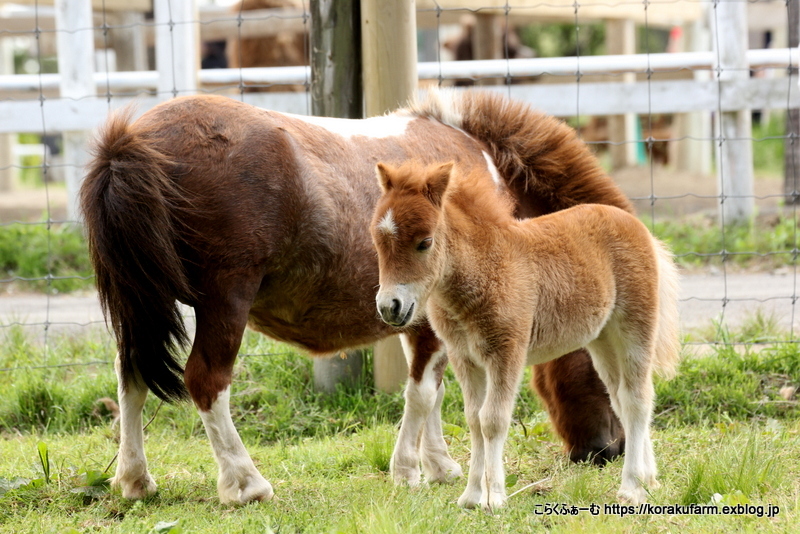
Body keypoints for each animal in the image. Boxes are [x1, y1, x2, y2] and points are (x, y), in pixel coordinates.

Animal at [81, 89, 632, 506]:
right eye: (597, 356)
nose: (610, 450)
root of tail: (132, 143)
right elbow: (422, 391)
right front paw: (410, 469)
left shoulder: (423, 313)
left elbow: (433, 388)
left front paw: (439, 465)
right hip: (224, 303)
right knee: (206, 381)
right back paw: (248, 483)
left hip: (139, 305)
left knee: (130, 377)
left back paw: (135, 480)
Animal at [372, 161, 680, 512]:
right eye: (378, 241)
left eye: (425, 242)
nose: (390, 307)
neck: (485, 268)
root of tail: (637, 226)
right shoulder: (465, 358)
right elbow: (474, 420)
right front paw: (471, 497)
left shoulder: (506, 352)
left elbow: (492, 420)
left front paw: (494, 499)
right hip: (602, 339)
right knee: (620, 397)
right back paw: (648, 479)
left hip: (634, 327)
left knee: (636, 399)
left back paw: (631, 488)